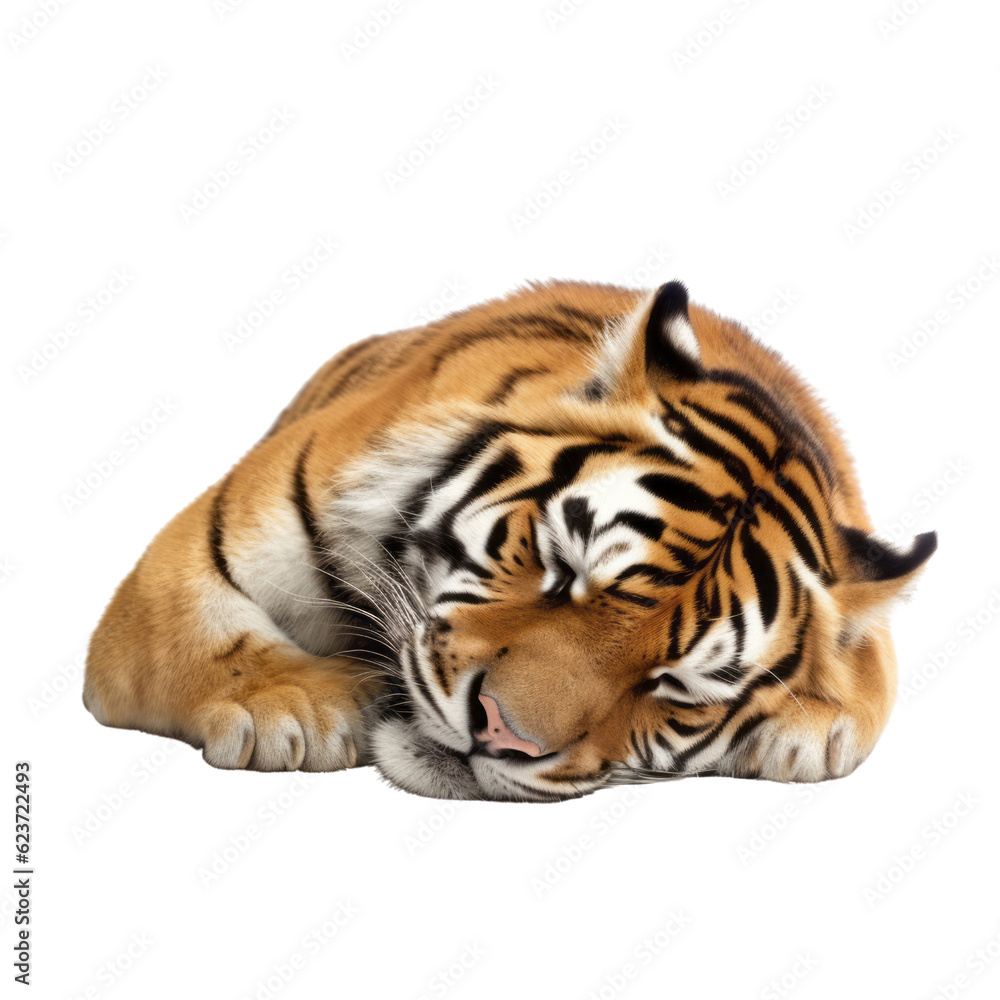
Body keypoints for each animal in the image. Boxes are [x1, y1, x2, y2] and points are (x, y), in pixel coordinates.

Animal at [84, 279, 936, 802]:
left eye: (673, 686)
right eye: (561, 568)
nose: (498, 735)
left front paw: (812, 726)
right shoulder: (185, 558)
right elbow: (198, 625)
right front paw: (293, 709)